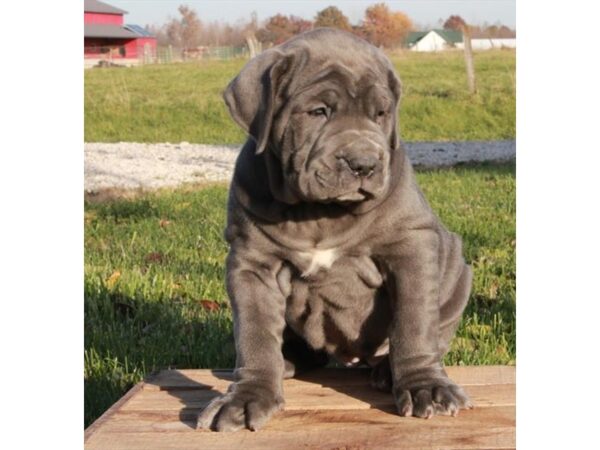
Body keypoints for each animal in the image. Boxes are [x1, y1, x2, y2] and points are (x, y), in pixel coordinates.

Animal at [197, 29, 474, 432]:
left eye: (380, 114)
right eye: (318, 112)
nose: (364, 163)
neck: (318, 212)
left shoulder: (412, 246)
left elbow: (414, 322)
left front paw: (425, 386)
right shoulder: (251, 262)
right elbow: (254, 332)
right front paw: (247, 396)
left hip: (457, 268)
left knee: (436, 329)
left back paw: (387, 371)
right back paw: (288, 360)